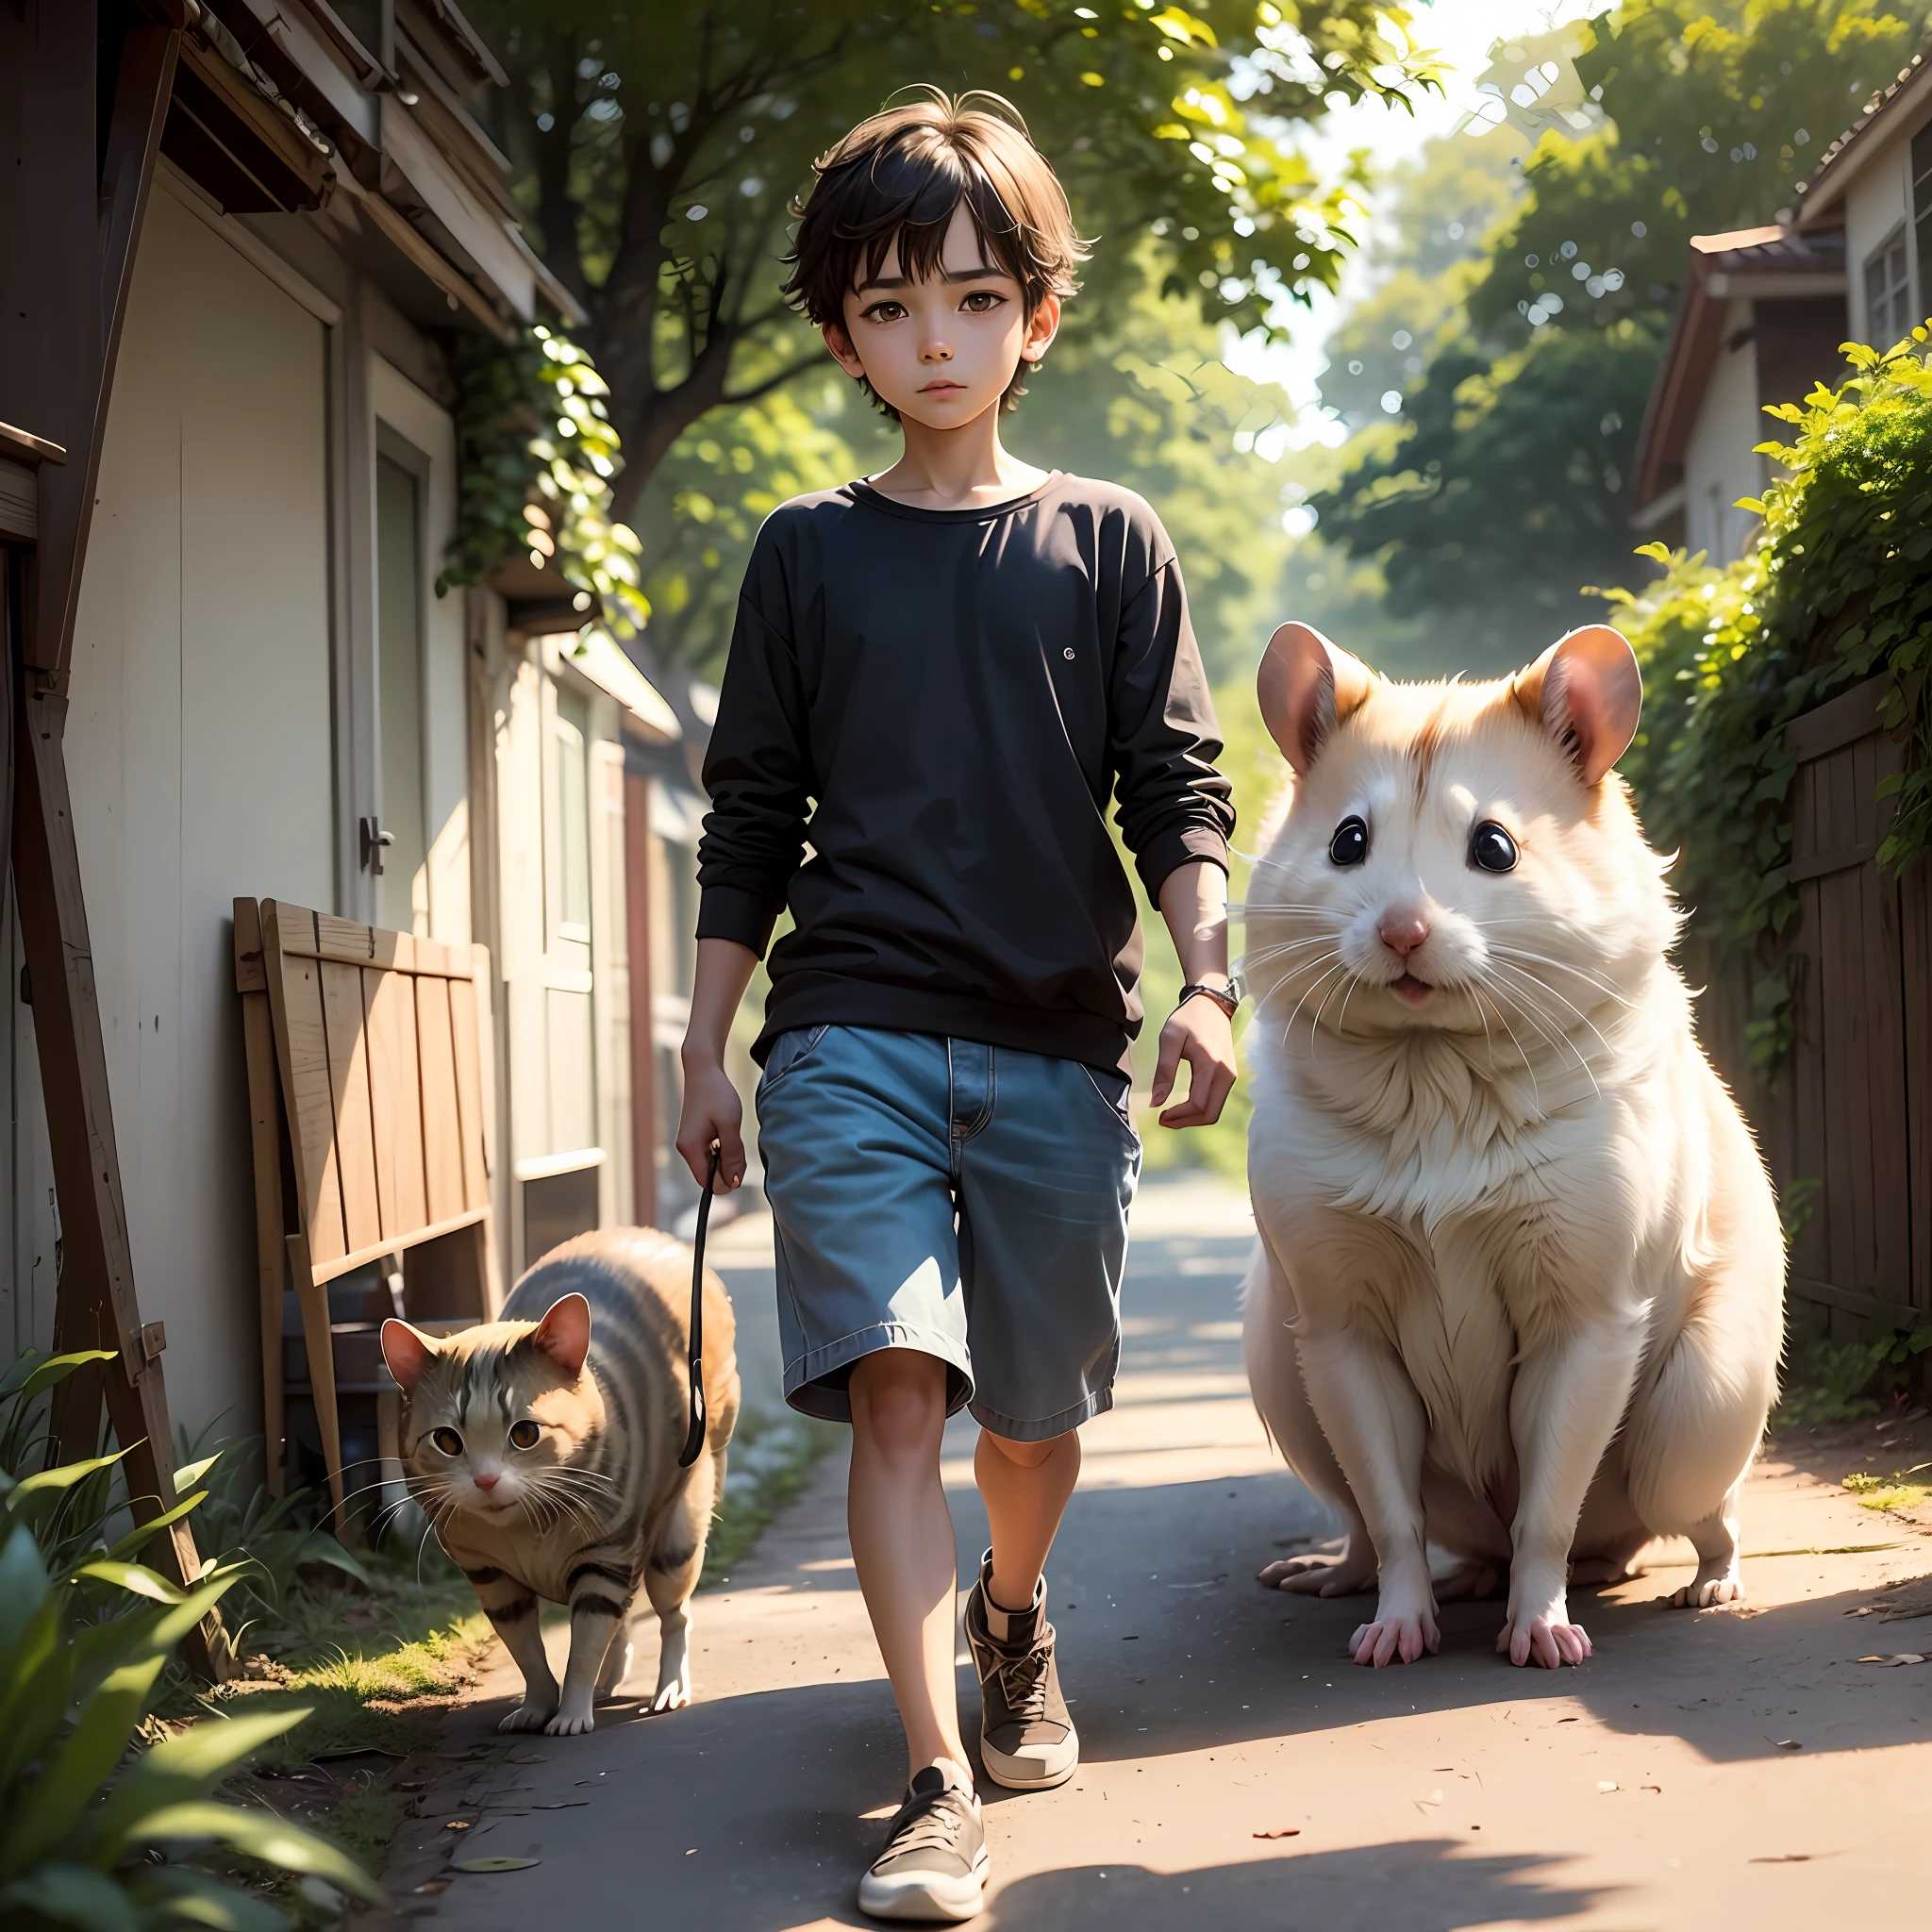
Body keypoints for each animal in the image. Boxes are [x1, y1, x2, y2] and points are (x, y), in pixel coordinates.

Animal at [378, 1228, 738, 1731]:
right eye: (448, 1441)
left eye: (525, 1434)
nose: (485, 1479)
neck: (526, 1532)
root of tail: (667, 1241)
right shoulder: (491, 1576)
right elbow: (527, 1650)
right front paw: (537, 1706)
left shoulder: (605, 1557)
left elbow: (584, 1646)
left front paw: (570, 1714)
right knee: (626, 1618)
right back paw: (611, 1680)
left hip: (677, 1533)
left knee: (673, 1615)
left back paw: (669, 1688)